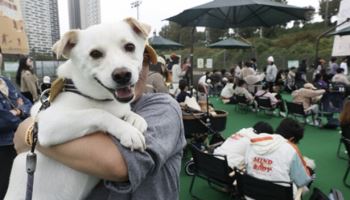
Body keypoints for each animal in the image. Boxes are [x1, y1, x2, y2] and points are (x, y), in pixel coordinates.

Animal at [4, 17, 152, 200]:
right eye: (95, 54)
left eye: (130, 47)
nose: (122, 75)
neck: (94, 97)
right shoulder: (49, 124)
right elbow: (97, 113)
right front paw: (127, 131)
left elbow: (125, 112)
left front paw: (135, 119)